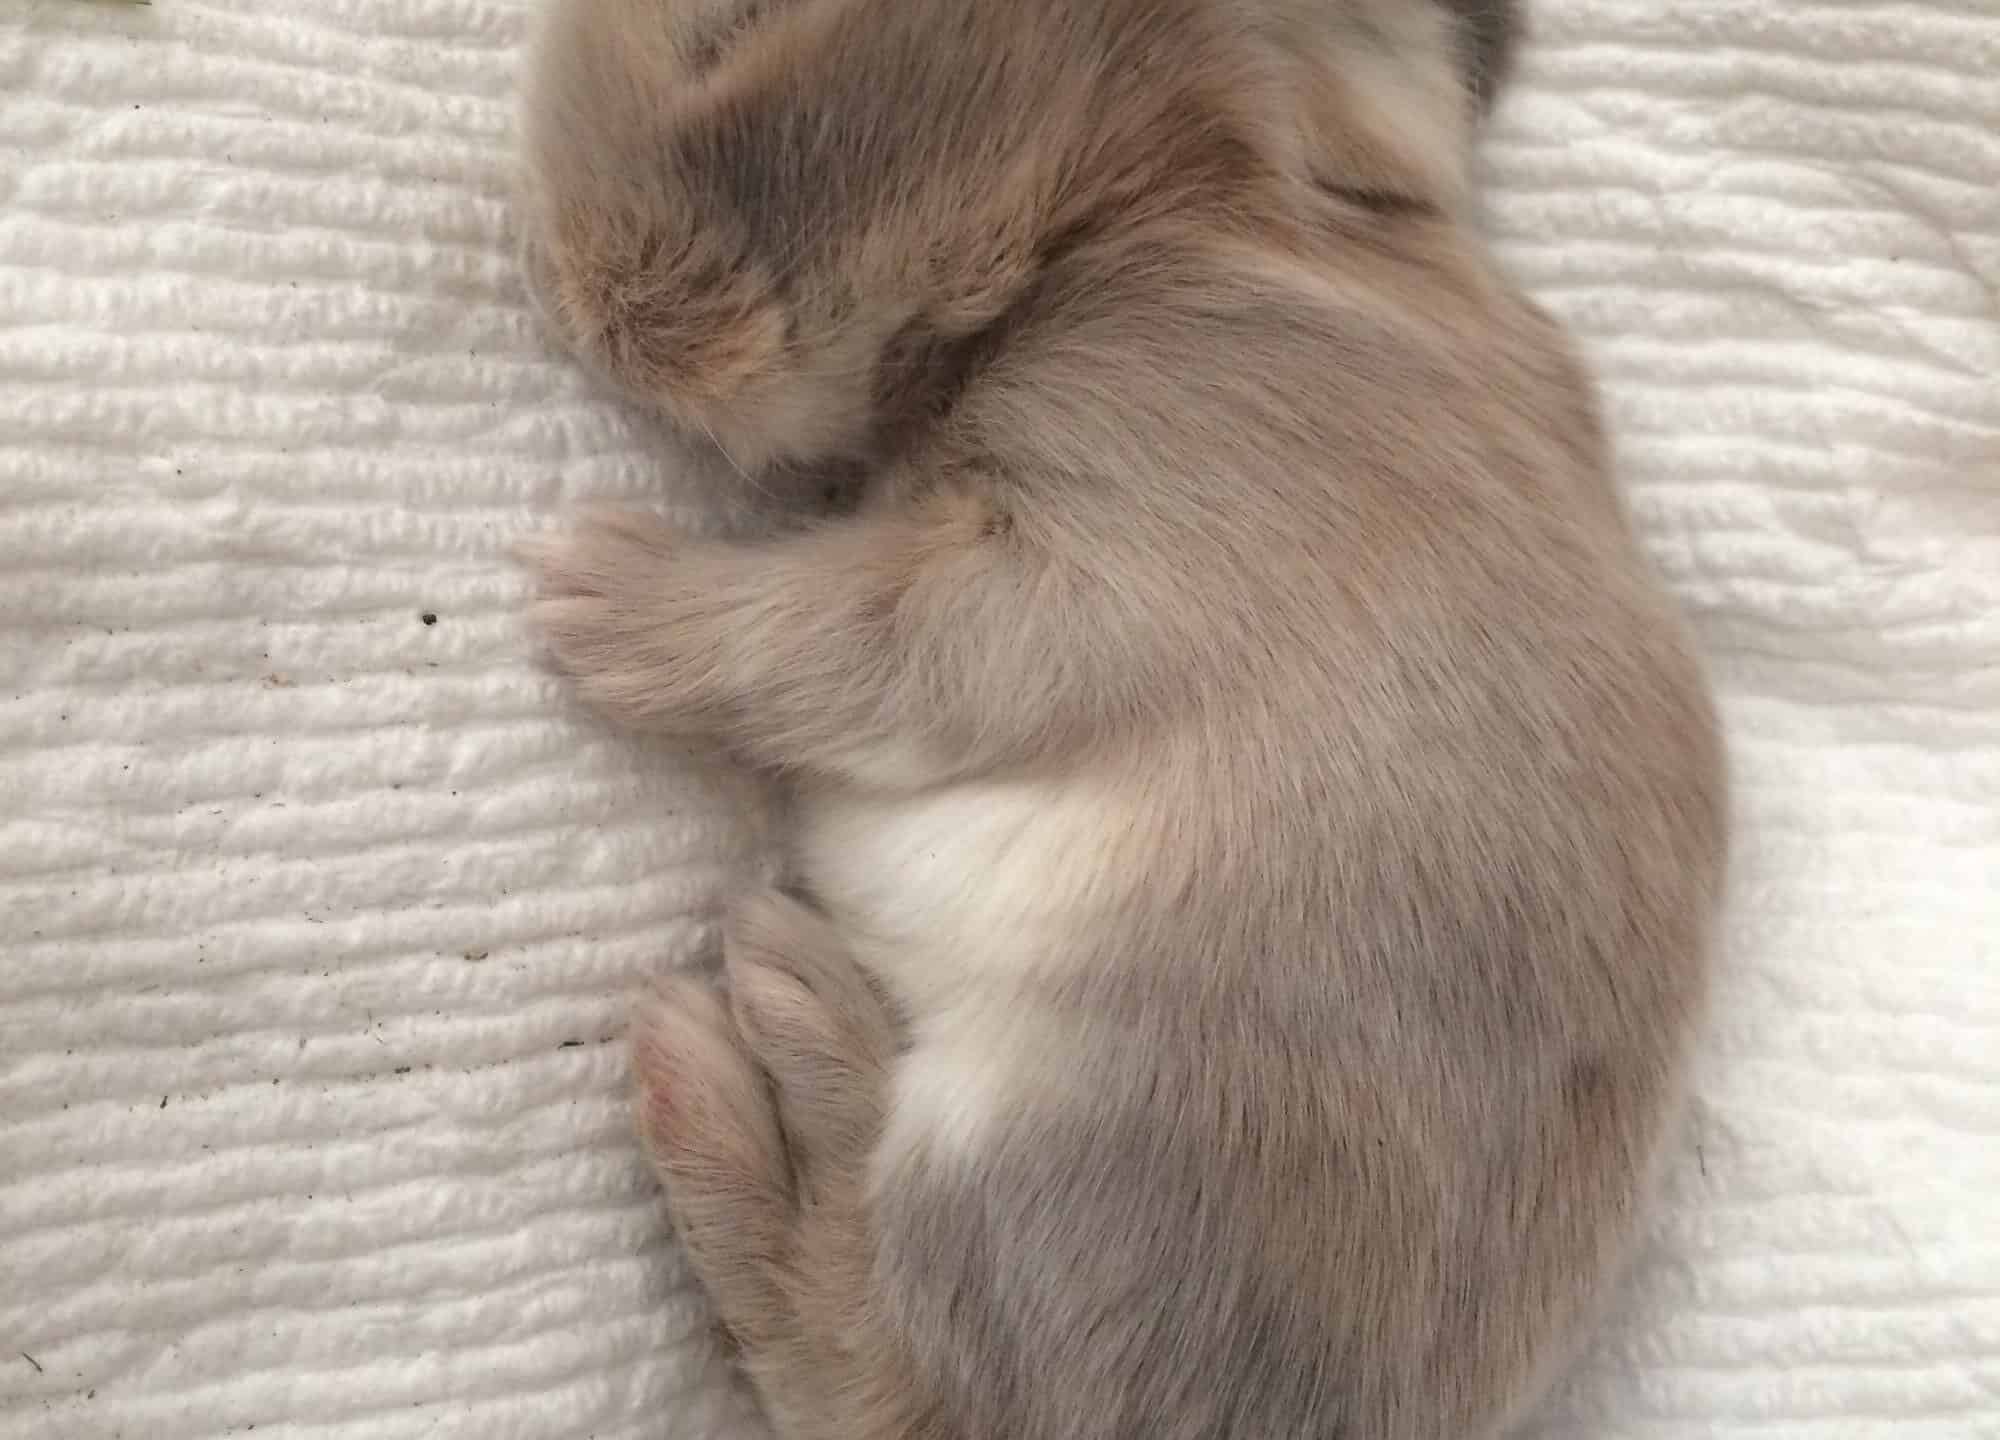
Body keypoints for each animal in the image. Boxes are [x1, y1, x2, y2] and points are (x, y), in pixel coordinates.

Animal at [524, 2, 1728, 1440]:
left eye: (727, 38)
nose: (581, 290)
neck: (1175, 200)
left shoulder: (1085, 571)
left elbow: (847, 629)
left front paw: (603, 594)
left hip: (1039, 1152)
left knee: (858, 1338)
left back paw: (751, 1024)